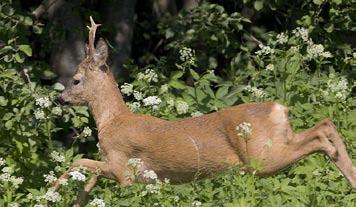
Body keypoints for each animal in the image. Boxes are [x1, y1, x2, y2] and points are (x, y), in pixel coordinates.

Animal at [53, 18, 356, 207]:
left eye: (76, 80)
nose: (60, 98)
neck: (113, 121)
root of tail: (279, 107)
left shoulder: (122, 167)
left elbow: (79, 161)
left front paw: (51, 193)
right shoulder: (133, 176)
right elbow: (88, 174)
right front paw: (75, 200)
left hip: (262, 157)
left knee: (320, 136)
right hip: (277, 143)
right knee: (326, 124)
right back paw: (352, 180)